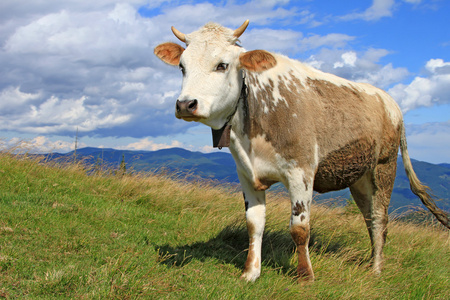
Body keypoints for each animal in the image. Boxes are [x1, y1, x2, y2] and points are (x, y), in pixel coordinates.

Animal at [153, 20, 448, 282]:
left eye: (222, 65)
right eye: (182, 66)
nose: (186, 104)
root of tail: (390, 102)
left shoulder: (301, 172)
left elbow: (300, 228)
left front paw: (305, 276)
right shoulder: (246, 174)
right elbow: (254, 224)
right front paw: (251, 273)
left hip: (384, 167)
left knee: (379, 218)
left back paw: (376, 270)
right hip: (360, 176)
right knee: (368, 216)